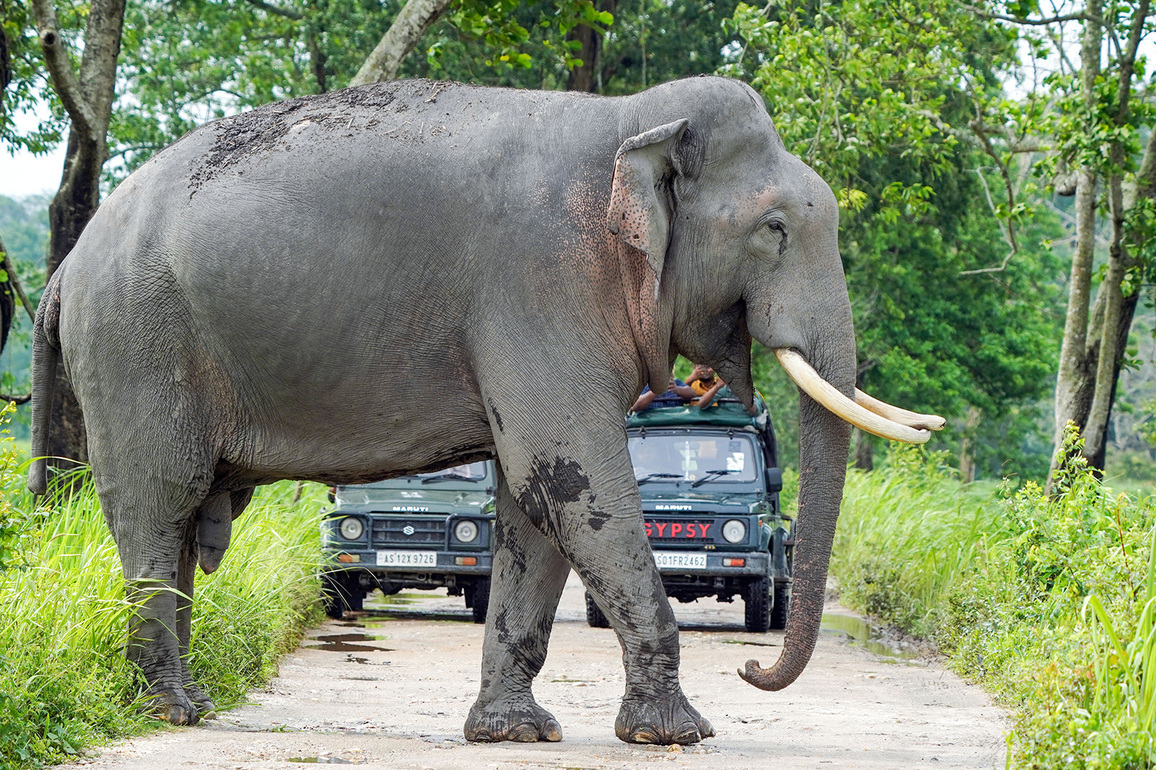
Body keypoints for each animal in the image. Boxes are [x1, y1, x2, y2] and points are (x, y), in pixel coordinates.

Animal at [28, 76, 943, 745]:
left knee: (183, 522)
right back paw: (171, 711)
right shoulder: (541, 285)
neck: (633, 118)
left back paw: (191, 705)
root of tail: (66, 269)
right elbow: (573, 478)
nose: (753, 672)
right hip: (136, 343)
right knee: (161, 503)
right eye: (776, 229)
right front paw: (678, 735)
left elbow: (536, 502)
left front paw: (516, 733)